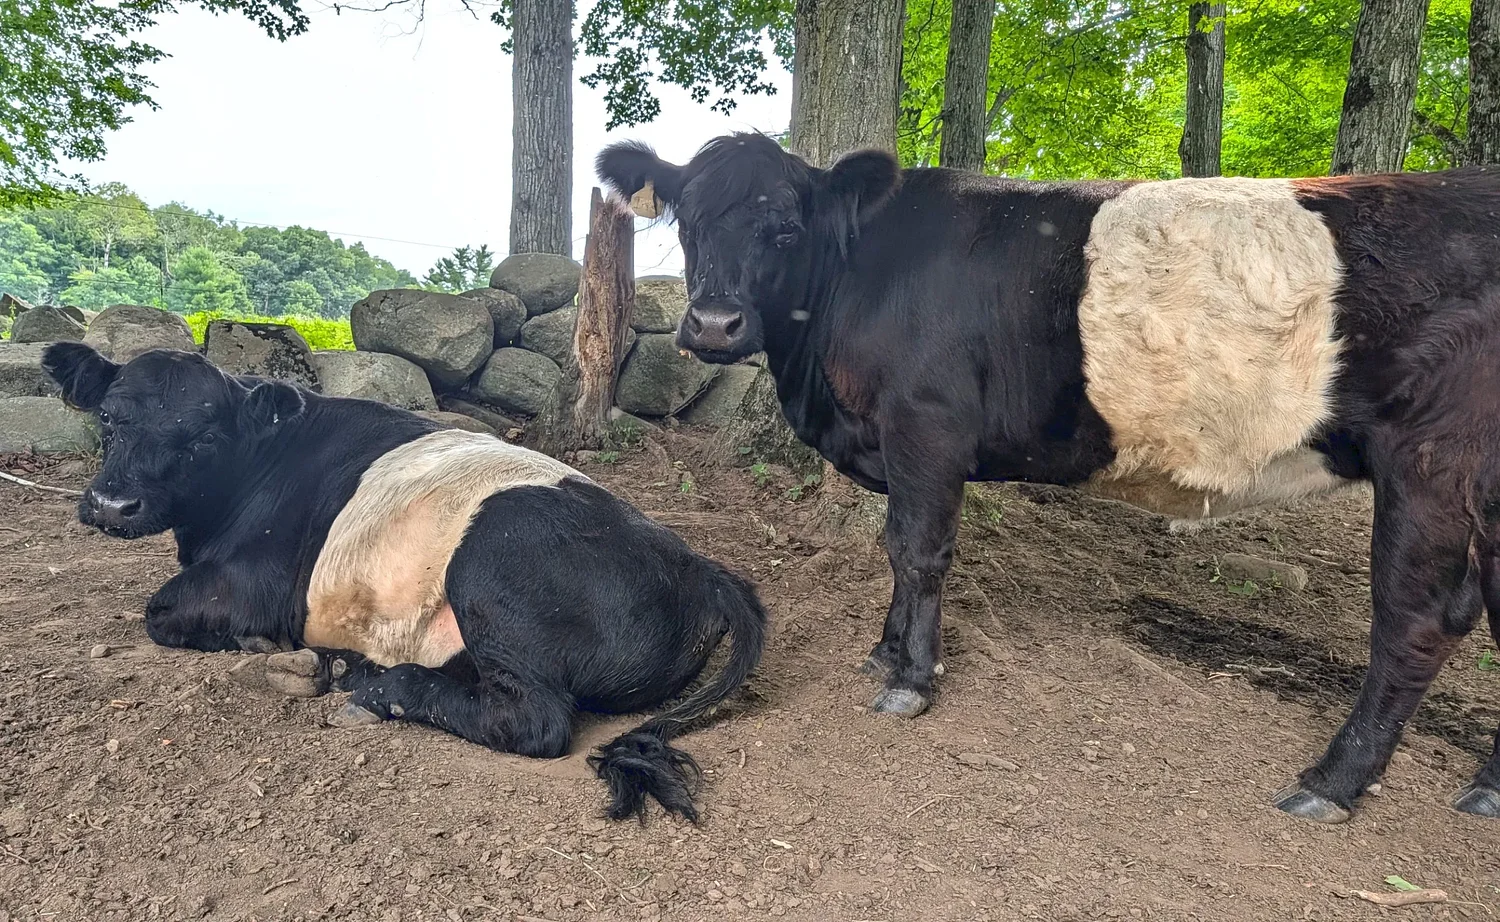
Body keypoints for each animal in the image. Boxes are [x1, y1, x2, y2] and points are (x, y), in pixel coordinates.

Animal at [41, 341, 766, 823]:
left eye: (205, 439)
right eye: (109, 418)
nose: (112, 505)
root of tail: (700, 567)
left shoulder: (254, 584)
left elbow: (162, 610)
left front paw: (265, 649)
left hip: (489, 566)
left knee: (534, 720)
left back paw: (367, 686)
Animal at [596, 132, 1500, 825]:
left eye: (786, 229)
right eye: (688, 220)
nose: (713, 324)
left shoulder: (925, 427)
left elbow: (917, 550)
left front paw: (910, 682)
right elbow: (895, 552)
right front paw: (885, 654)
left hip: (1434, 459)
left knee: (1418, 620)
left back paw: (1332, 782)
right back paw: (1483, 790)